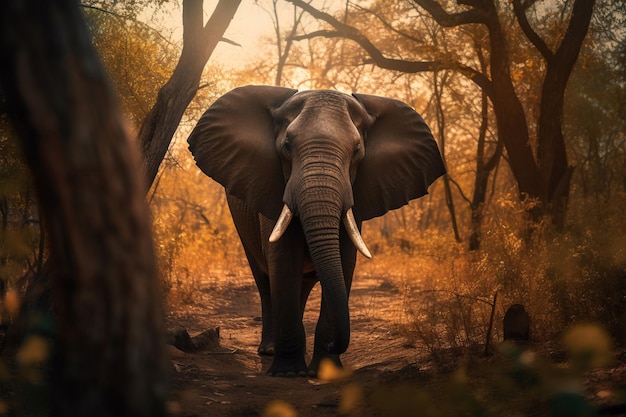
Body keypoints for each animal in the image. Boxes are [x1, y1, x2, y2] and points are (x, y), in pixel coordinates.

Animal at [185, 85, 444, 376]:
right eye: (287, 146)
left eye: (357, 151)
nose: (335, 345)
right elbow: (284, 261)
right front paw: (288, 373)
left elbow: (343, 263)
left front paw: (323, 371)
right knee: (265, 280)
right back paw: (270, 350)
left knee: (303, 283)